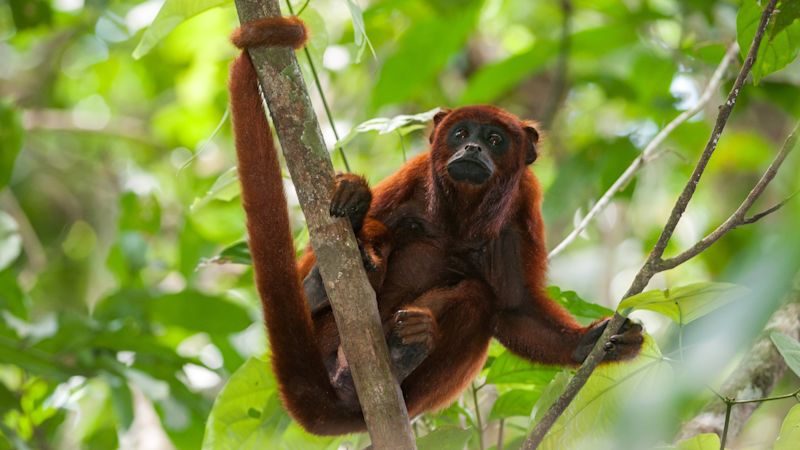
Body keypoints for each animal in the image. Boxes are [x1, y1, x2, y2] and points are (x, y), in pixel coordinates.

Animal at [229, 15, 644, 435]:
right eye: (460, 134)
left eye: (495, 139)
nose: (473, 148)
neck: (460, 215)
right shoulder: (413, 174)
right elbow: (327, 243)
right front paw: (355, 202)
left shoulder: (523, 210)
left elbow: (515, 307)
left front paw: (589, 342)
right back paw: (327, 282)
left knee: (478, 297)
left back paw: (400, 353)